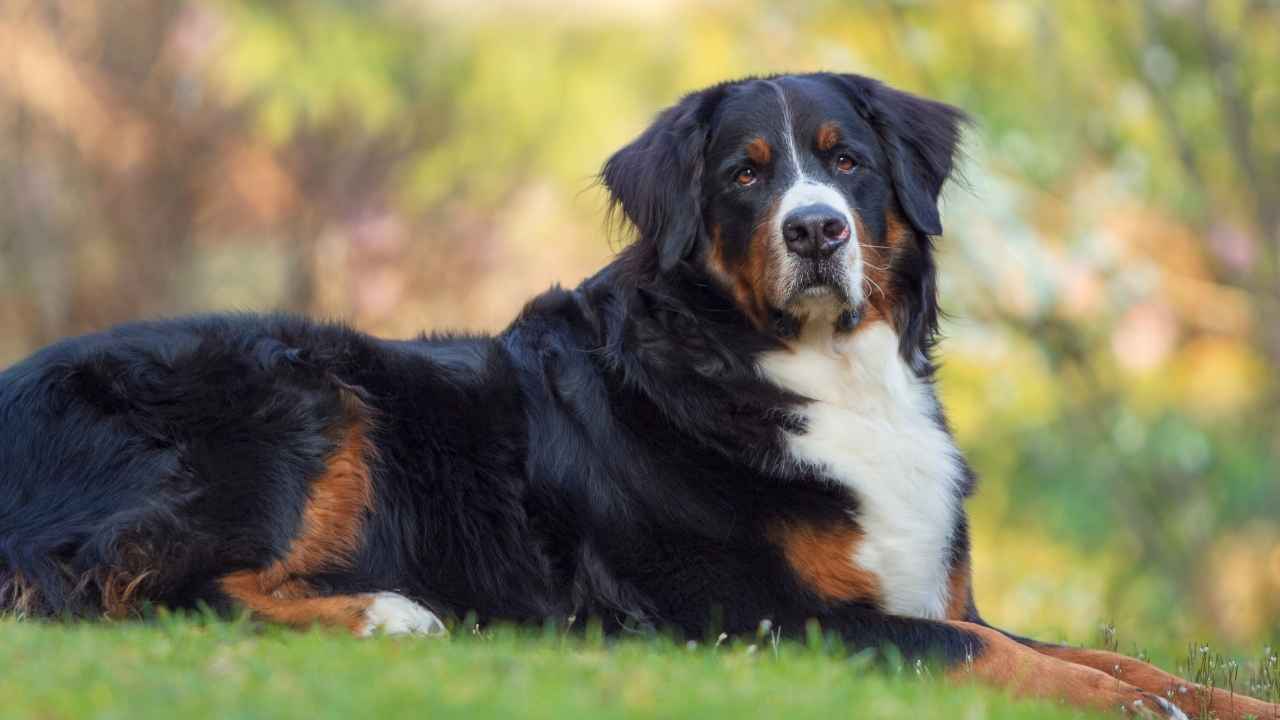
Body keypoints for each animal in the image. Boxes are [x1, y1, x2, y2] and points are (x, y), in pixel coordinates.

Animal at [5, 73, 1274, 717]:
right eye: (745, 176)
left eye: (846, 160)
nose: (815, 231)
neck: (811, 372)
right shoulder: (772, 618)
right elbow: (994, 659)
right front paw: (1121, 706)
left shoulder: (928, 589)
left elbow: (1114, 657)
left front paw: (1209, 701)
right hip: (298, 391)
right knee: (156, 590)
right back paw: (389, 614)